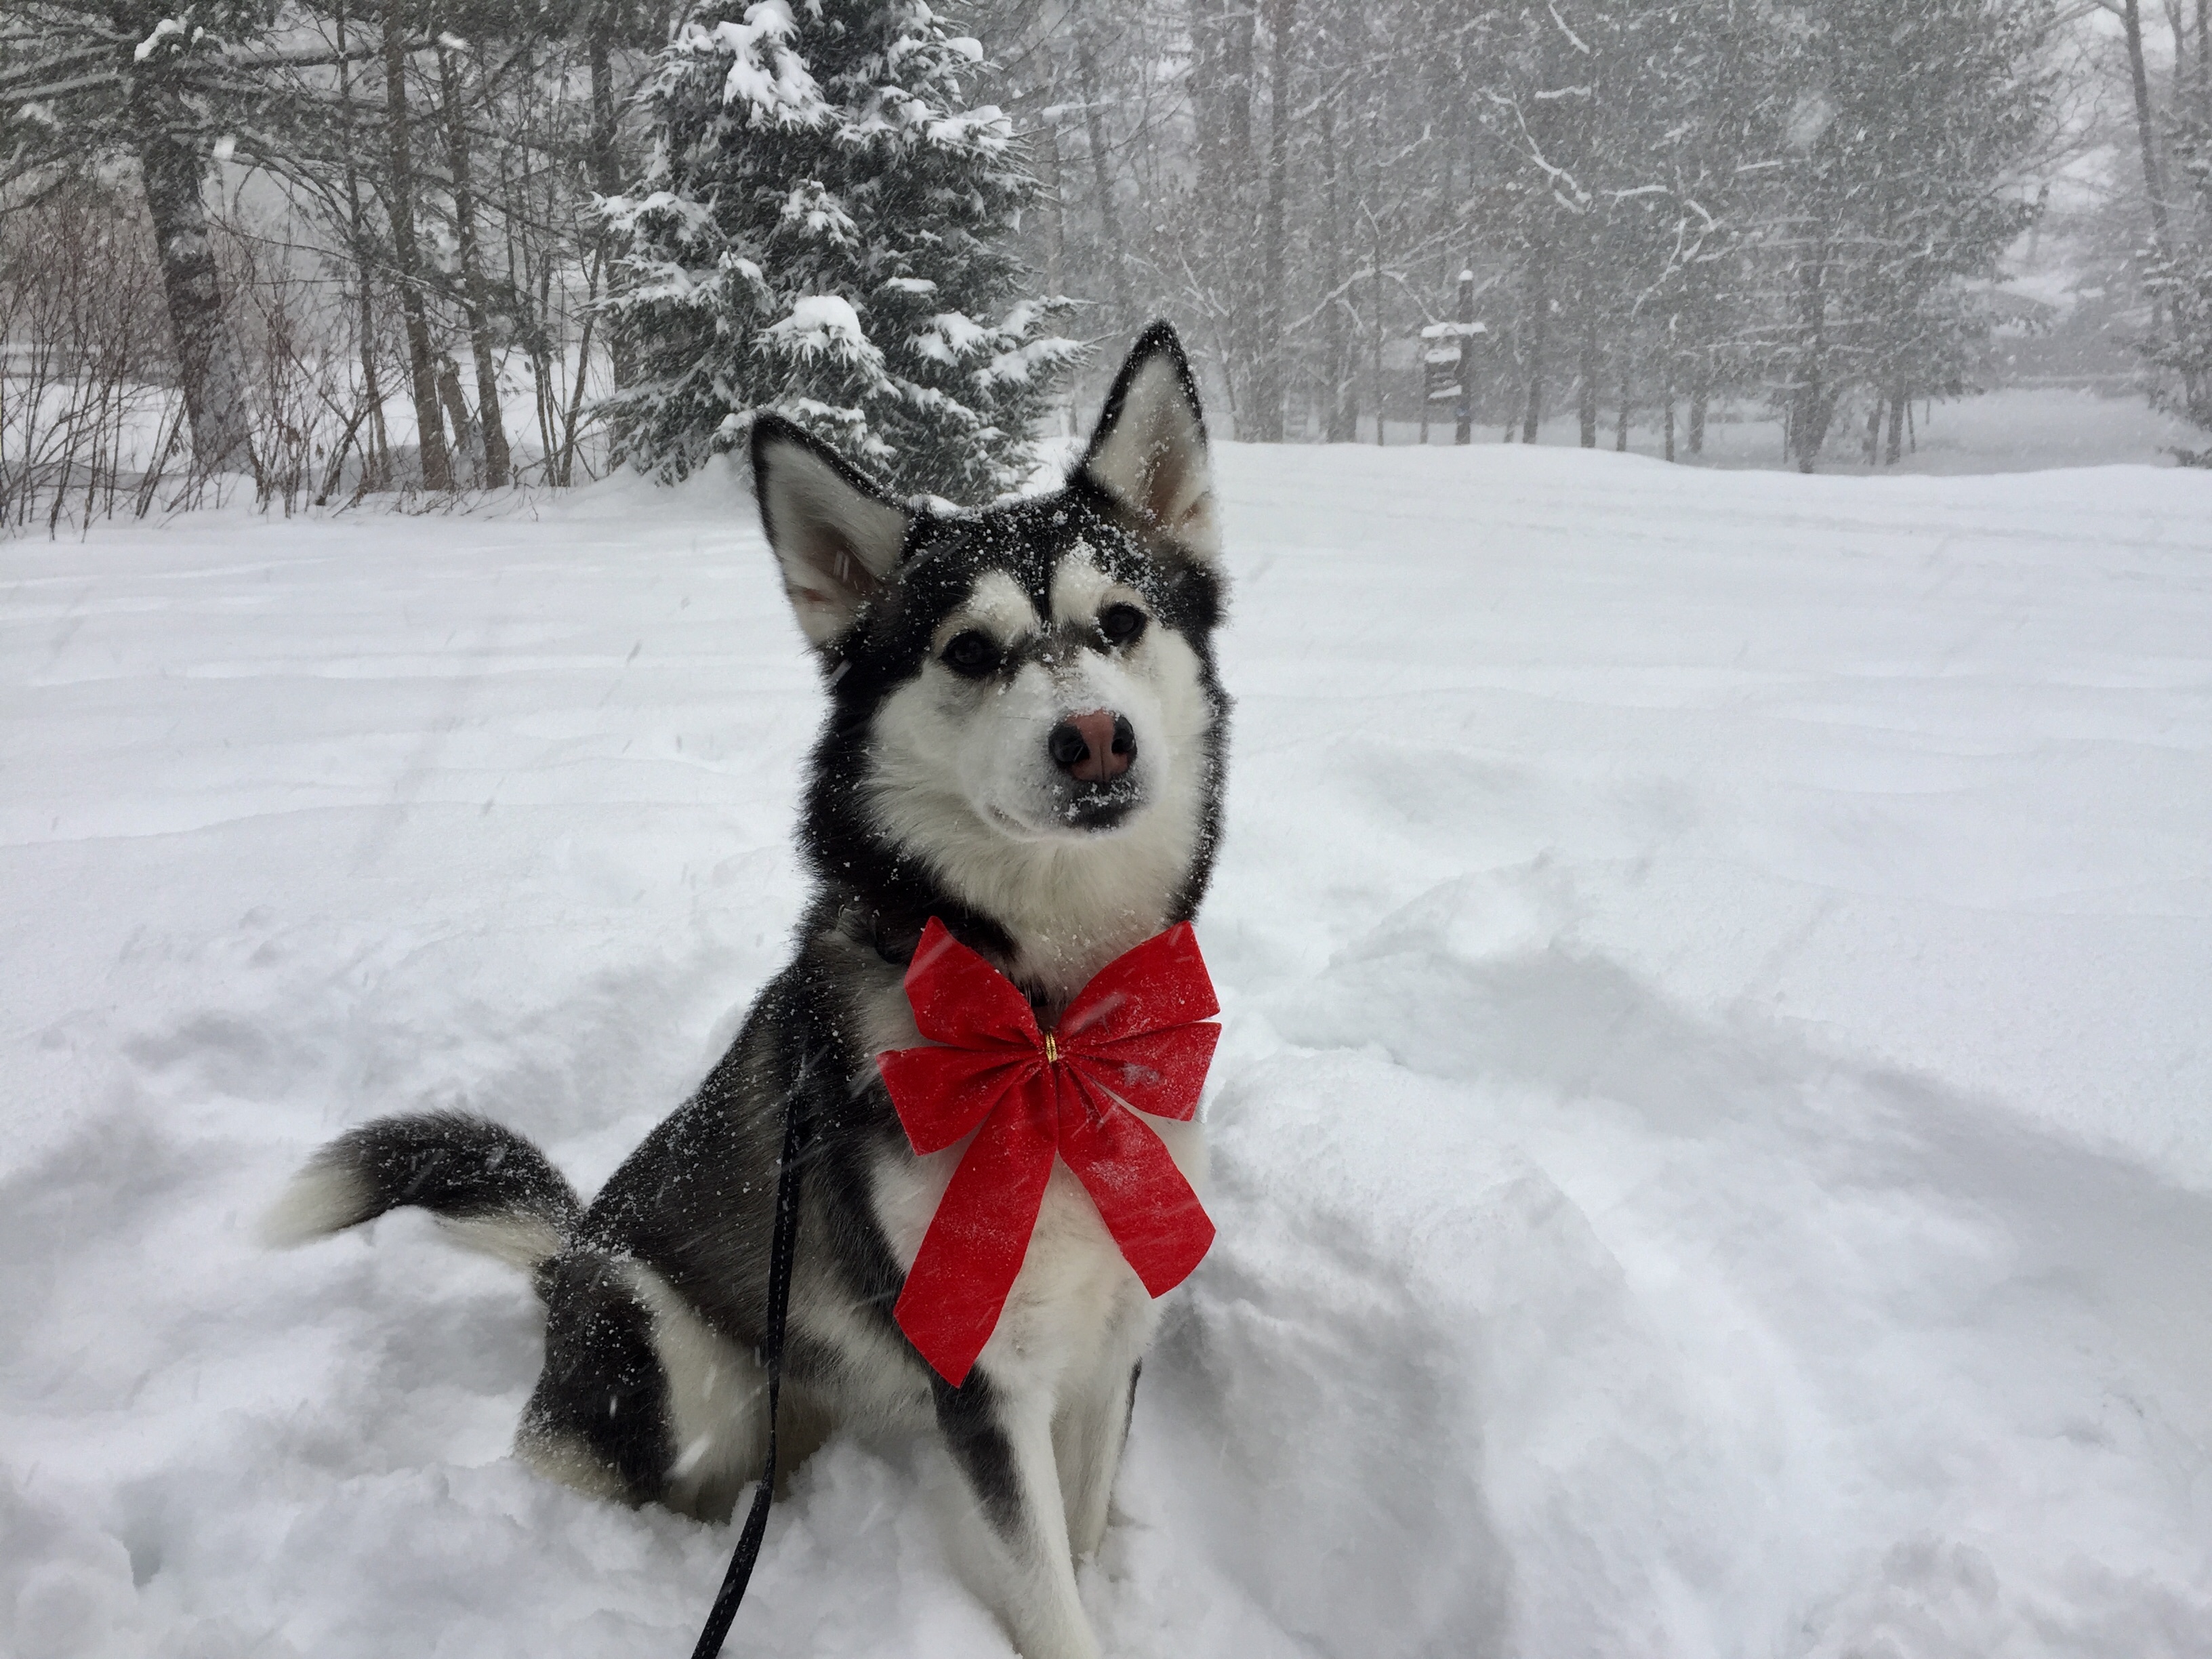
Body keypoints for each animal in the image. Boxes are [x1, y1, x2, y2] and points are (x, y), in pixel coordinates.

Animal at [264, 323, 1230, 1659]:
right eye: (970, 651)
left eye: (1124, 618)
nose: (1094, 739)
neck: (1044, 1024)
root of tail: (569, 1256)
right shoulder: (981, 1368)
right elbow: (1048, 1594)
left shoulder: (1108, 1331)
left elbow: (1080, 1547)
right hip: (663, 1353)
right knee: (589, 1465)